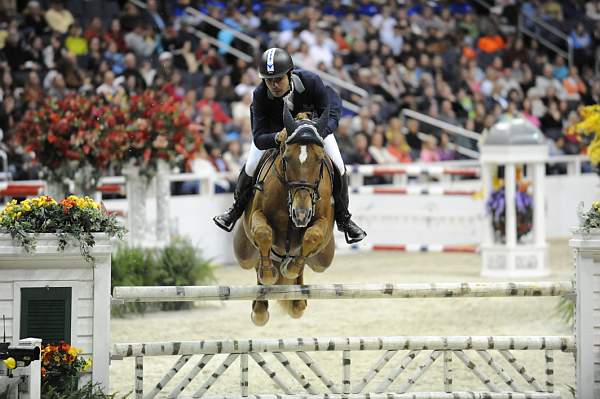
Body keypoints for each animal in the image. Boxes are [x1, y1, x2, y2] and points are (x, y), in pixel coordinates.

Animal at [233, 105, 336, 324]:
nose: (301, 214)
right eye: (287, 158)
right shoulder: (258, 216)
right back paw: (260, 309)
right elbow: (264, 233)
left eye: (320, 159)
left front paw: (290, 268)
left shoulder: (323, 224)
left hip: (324, 259)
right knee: (255, 260)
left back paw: (297, 301)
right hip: (243, 252)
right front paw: (268, 273)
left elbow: (312, 236)